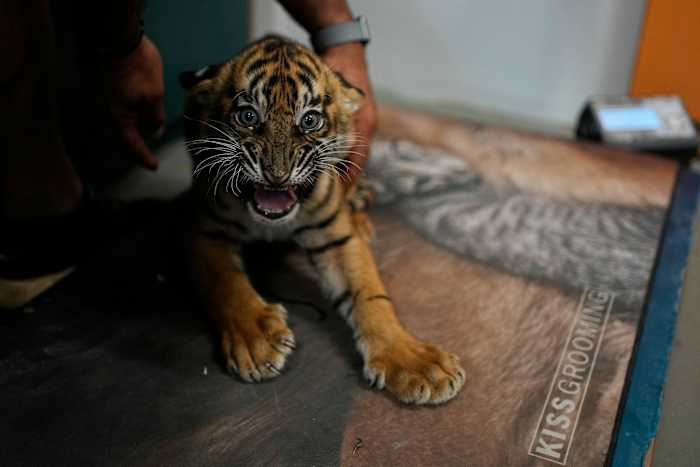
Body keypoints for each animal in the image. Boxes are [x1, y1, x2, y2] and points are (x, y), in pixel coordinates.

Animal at [179, 36, 465, 405]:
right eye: (248, 116)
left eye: (310, 120)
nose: (276, 176)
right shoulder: (206, 230)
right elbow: (227, 283)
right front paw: (256, 341)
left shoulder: (335, 237)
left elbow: (371, 296)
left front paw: (414, 361)